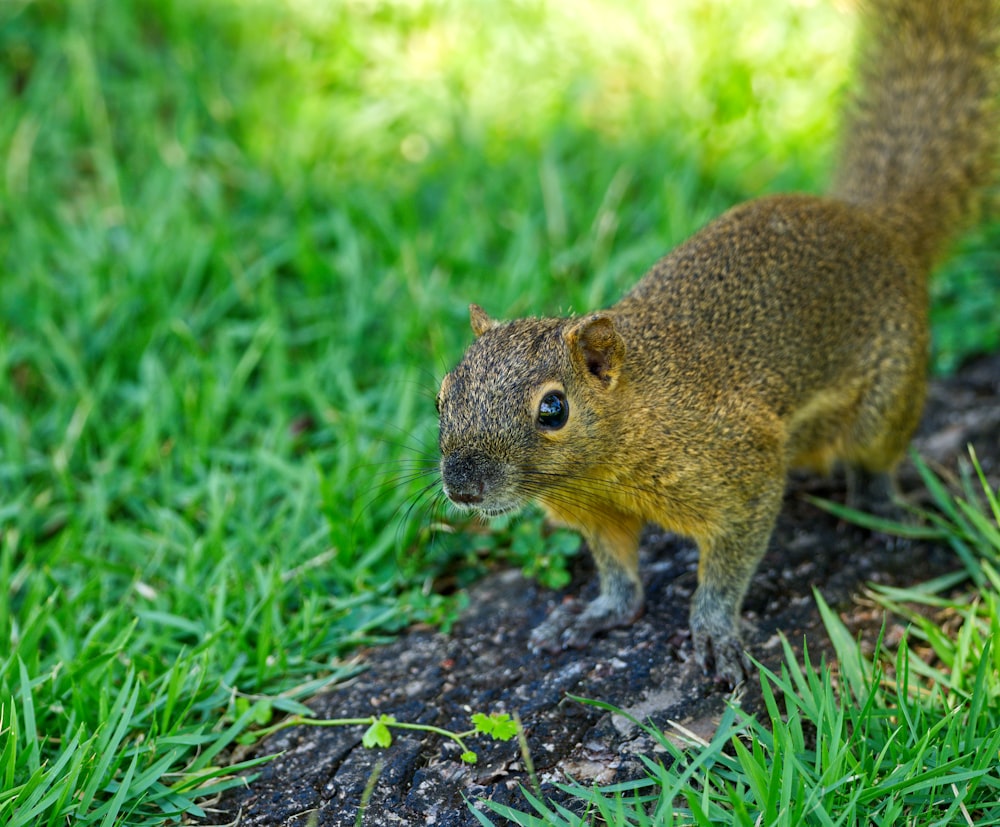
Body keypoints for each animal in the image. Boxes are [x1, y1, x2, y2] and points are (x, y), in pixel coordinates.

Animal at [434, 0, 996, 684]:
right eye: (441, 397)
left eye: (553, 409)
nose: (461, 487)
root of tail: (884, 226)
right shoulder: (599, 512)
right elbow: (618, 573)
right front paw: (597, 614)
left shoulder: (741, 465)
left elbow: (727, 569)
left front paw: (714, 632)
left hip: (890, 392)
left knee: (873, 460)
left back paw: (882, 508)